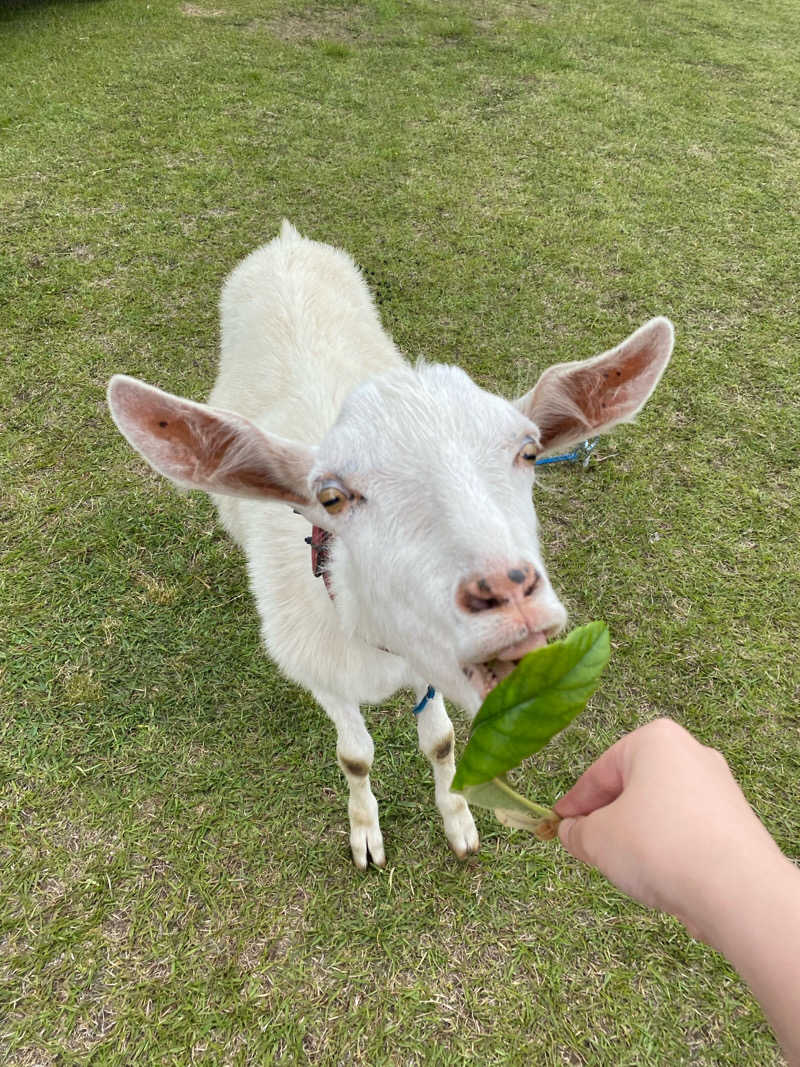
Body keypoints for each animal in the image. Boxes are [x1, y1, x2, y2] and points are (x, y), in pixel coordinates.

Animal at [105, 220, 669, 870]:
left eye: (529, 451)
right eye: (331, 497)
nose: (508, 593)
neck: (371, 638)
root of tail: (286, 240)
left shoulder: (428, 664)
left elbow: (442, 741)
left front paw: (459, 823)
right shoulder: (321, 672)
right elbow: (355, 757)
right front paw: (366, 835)